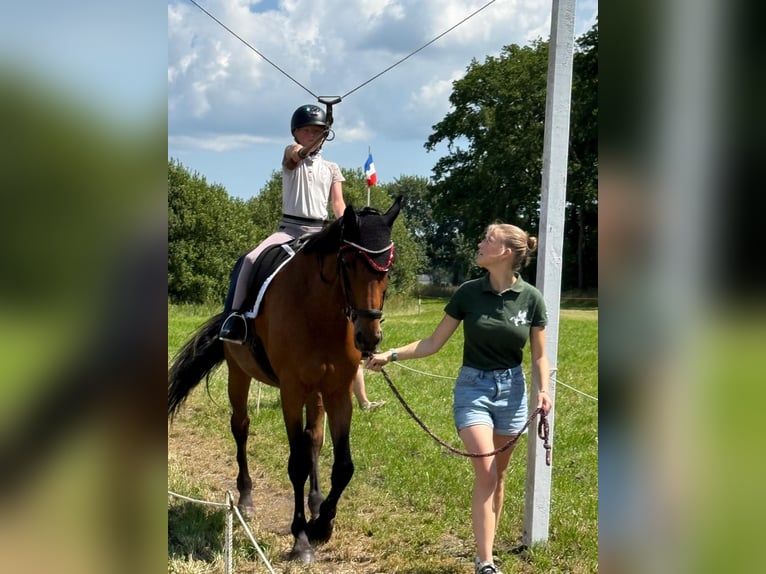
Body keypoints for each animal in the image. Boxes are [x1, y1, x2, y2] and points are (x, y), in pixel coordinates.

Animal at [168, 196, 402, 563]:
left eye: (386, 269)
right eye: (347, 262)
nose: (369, 338)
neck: (319, 312)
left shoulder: (337, 392)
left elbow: (342, 464)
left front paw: (322, 524)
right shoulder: (291, 391)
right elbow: (296, 463)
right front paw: (301, 539)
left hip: (315, 392)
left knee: (314, 439)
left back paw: (315, 502)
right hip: (239, 374)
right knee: (241, 427)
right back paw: (246, 498)